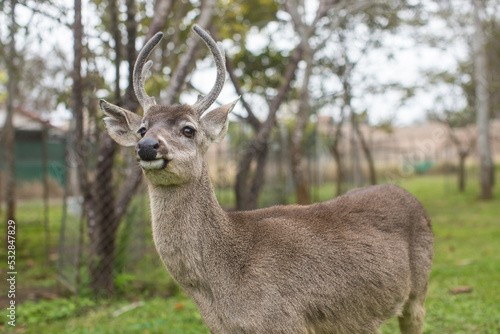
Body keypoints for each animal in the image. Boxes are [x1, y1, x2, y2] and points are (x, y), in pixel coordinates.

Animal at [98, 26, 434, 334]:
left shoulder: (287, 322)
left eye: (188, 129)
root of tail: (411, 197)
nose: (147, 146)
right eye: (142, 129)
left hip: (419, 291)